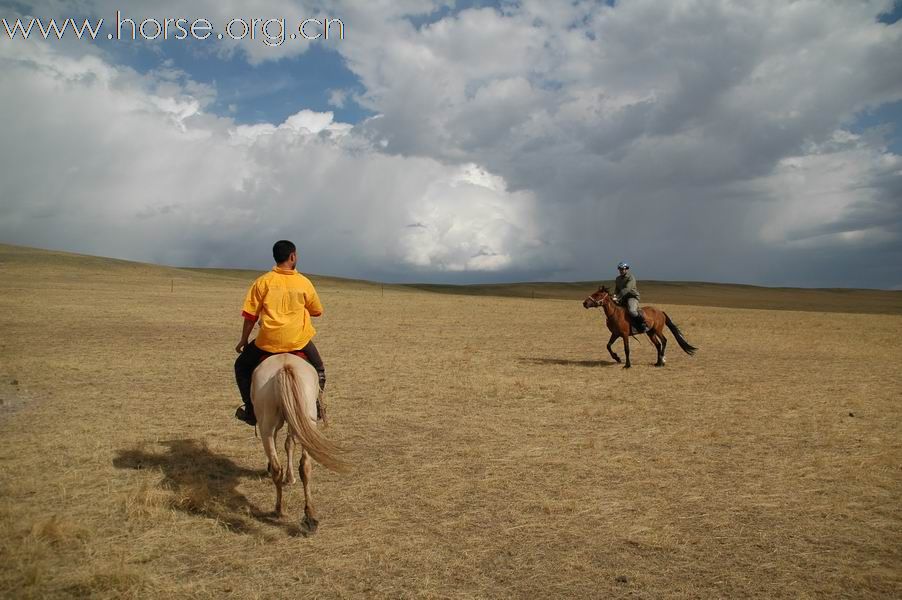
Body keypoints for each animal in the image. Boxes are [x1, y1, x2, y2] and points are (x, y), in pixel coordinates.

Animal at [254, 352, 354, 528]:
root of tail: (285, 368)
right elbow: (289, 444)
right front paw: (290, 477)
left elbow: (288, 444)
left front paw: (289, 477)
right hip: (303, 421)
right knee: (304, 466)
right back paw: (308, 515)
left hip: (269, 425)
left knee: (279, 466)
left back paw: (281, 509)